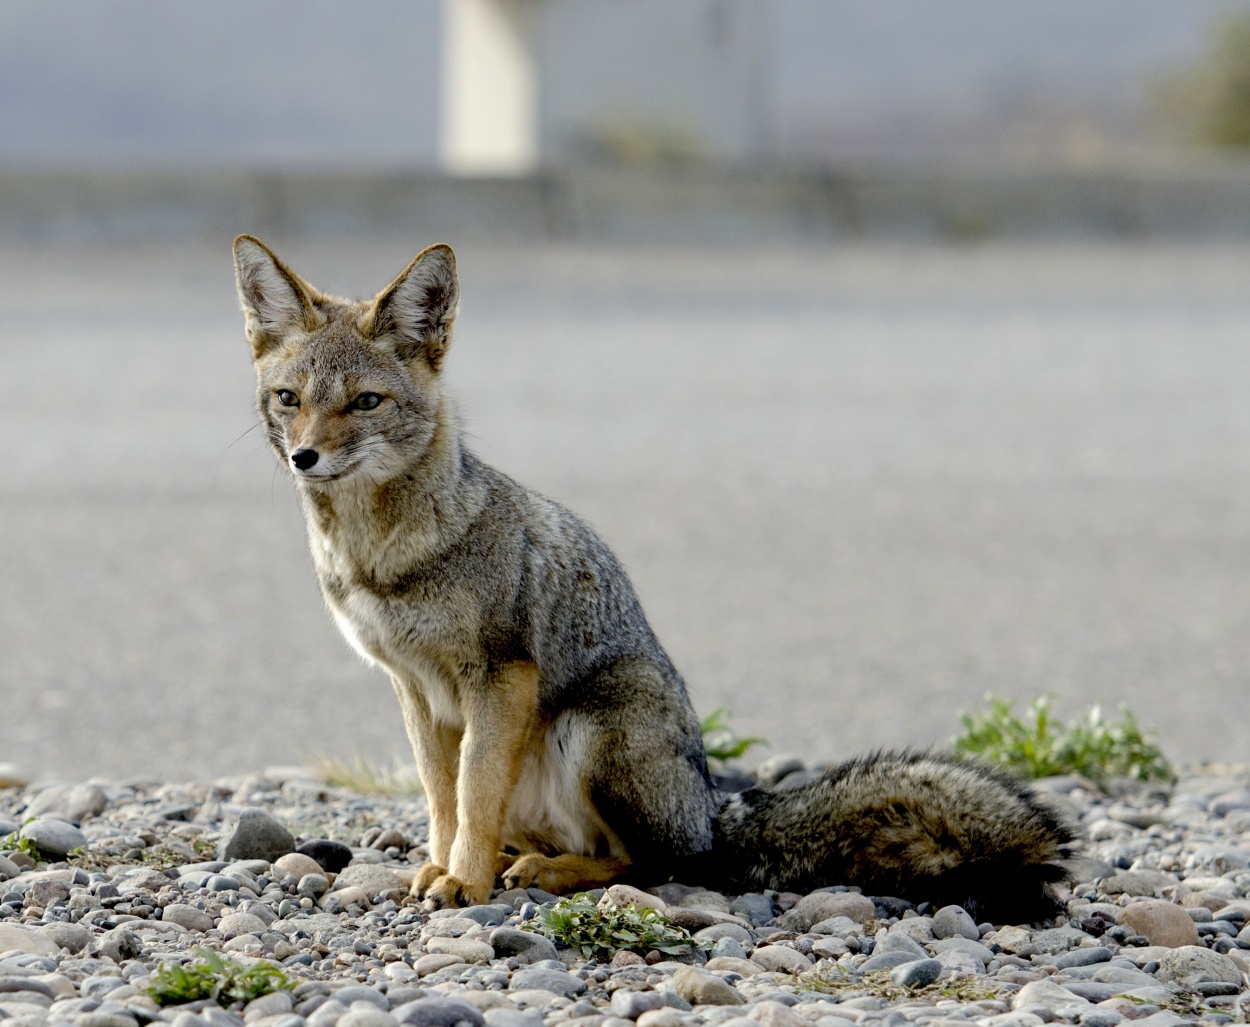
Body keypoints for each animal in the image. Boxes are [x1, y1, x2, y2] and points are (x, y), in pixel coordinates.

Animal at [235, 237, 1075, 919]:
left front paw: (462, 881)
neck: (379, 555)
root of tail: (711, 809)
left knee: (653, 863)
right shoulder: (413, 686)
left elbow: (473, 794)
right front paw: (443, 867)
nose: (304, 457)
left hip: (595, 725)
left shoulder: (499, 676)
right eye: (289, 399)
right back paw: (522, 859)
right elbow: (446, 799)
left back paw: (544, 869)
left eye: (365, 402)